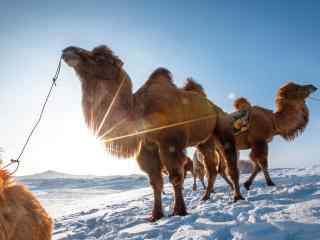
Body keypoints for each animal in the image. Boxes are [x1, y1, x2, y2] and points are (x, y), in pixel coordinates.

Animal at [62, 44, 242, 221]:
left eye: (101, 58)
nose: (68, 50)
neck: (140, 111)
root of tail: (215, 108)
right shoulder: (147, 147)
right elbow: (155, 182)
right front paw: (155, 215)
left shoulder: (170, 142)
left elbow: (175, 176)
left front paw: (179, 211)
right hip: (204, 141)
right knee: (211, 168)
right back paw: (205, 197)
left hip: (222, 127)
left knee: (230, 162)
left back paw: (237, 197)